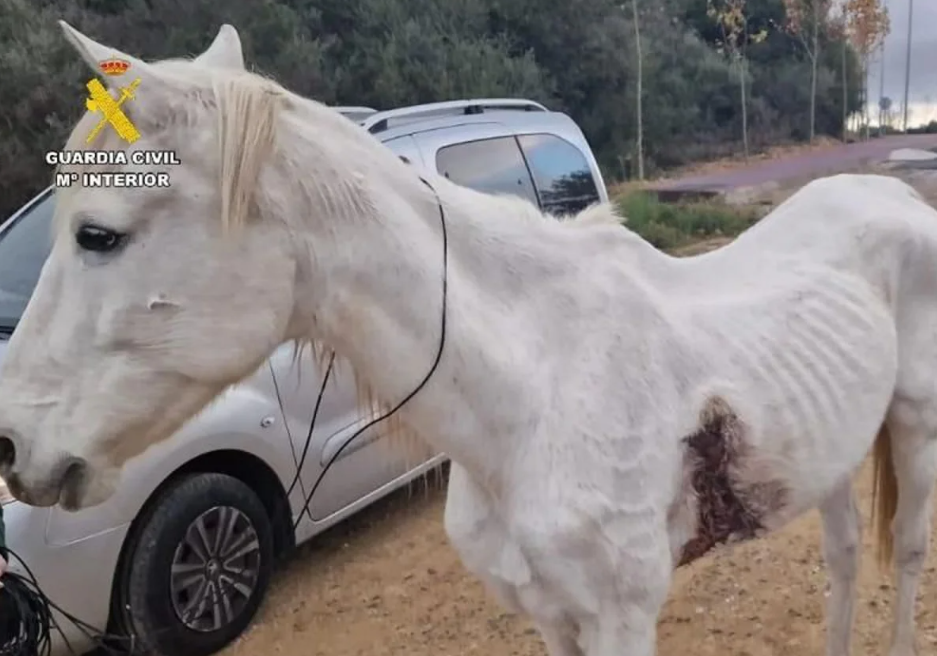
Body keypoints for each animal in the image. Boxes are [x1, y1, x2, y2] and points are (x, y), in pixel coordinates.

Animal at [0, 21, 935, 656]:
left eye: (97, 234)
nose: (11, 445)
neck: (533, 395)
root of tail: (891, 196)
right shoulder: (554, 618)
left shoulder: (624, 617)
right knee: (844, 558)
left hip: (912, 430)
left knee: (903, 555)